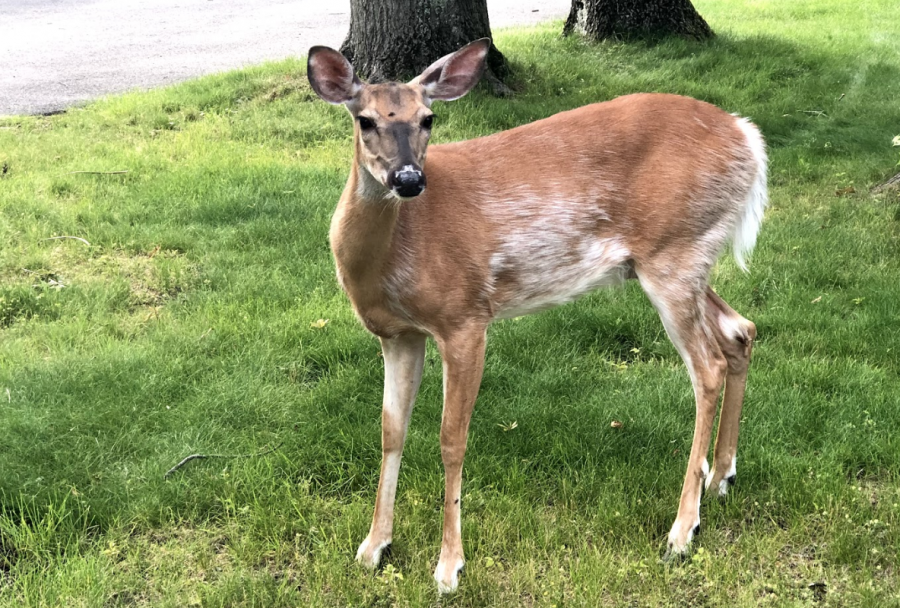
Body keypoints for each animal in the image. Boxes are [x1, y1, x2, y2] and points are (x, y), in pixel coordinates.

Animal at [308, 38, 768, 592]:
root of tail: (749, 138)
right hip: (679, 260)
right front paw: (373, 547)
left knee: (709, 366)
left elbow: (451, 439)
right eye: (365, 120)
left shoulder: (465, 316)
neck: (393, 254)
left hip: (675, 252)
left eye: (428, 119)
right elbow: (390, 431)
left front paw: (449, 566)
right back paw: (722, 477)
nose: (409, 178)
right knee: (740, 331)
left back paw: (682, 530)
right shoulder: (398, 334)